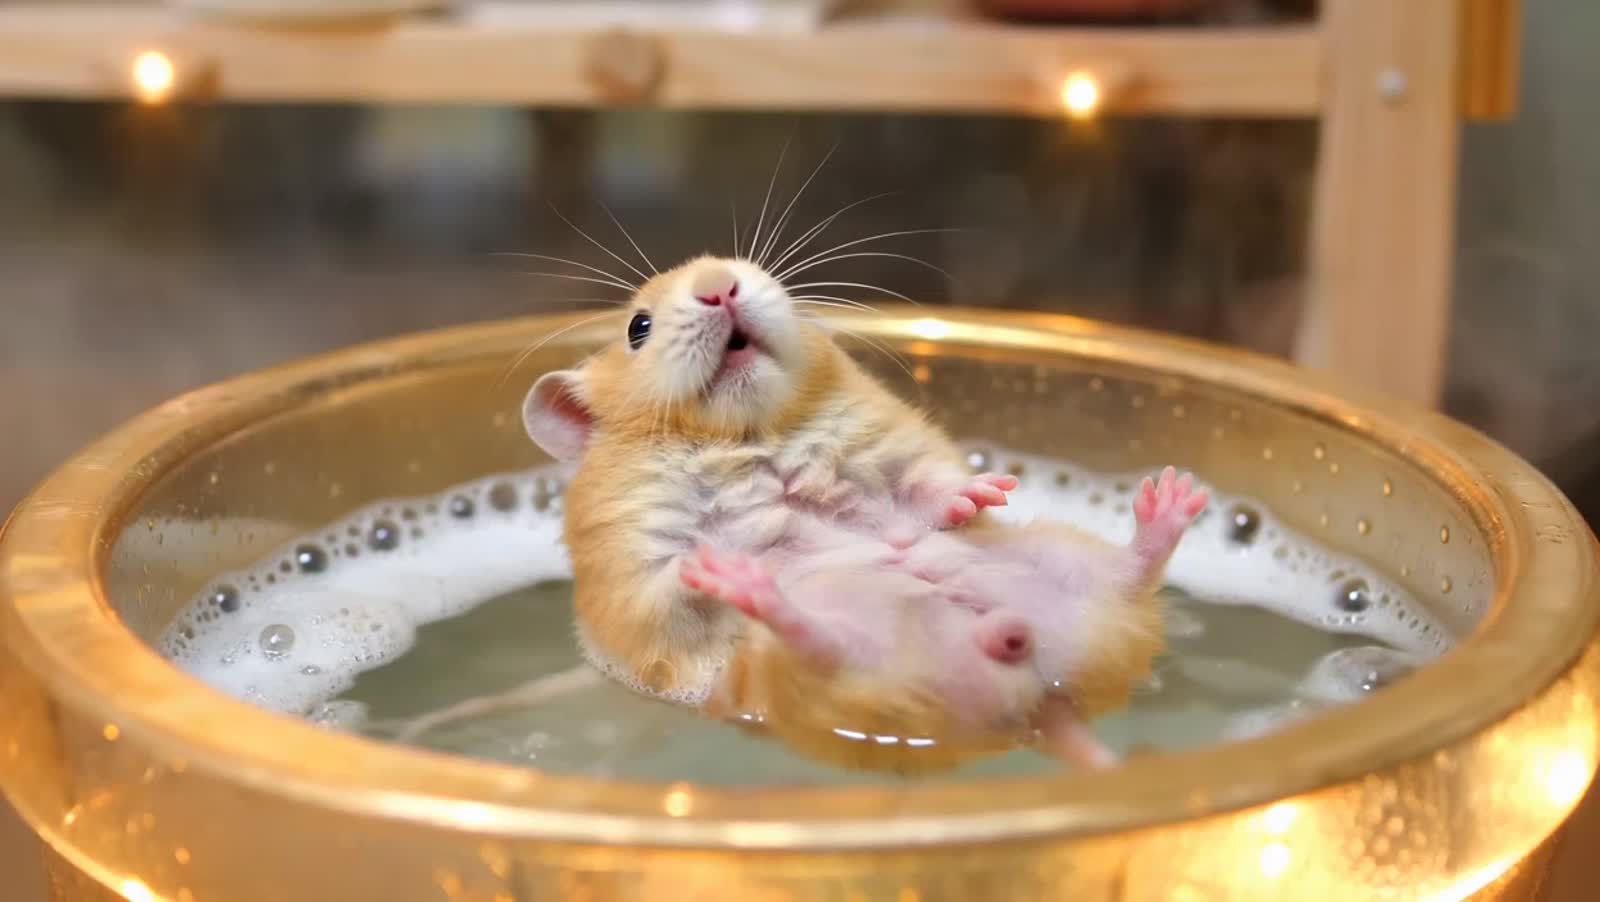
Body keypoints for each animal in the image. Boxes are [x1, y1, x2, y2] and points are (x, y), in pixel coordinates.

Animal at [522, 255, 1205, 772]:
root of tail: (1041, 704)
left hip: (1062, 564)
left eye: (740, 262)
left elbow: (927, 491)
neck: (747, 436)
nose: (720, 284)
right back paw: (761, 592)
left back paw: (1171, 502)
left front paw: (985, 491)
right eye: (638, 327)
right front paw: (717, 563)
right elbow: (670, 585)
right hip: (812, 670)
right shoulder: (630, 571)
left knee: (1128, 577)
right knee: (820, 648)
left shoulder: (893, 452)